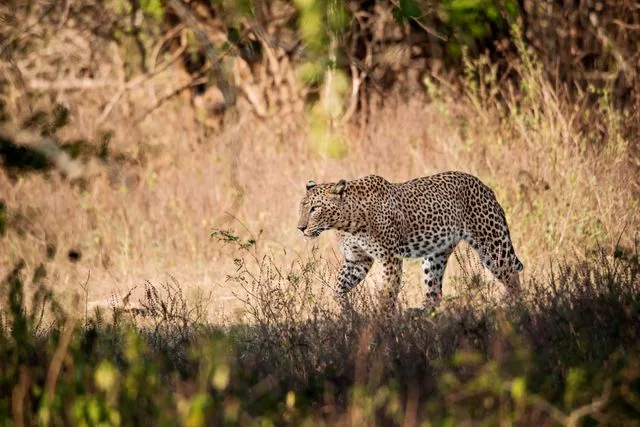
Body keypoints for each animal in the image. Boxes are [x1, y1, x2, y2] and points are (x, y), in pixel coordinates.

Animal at [298, 172, 524, 312]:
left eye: (315, 208)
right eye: (302, 207)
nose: (300, 228)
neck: (347, 222)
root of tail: (486, 187)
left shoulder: (389, 259)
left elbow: (387, 294)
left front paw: (381, 323)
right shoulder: (357, 259)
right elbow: (337, 288)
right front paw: (346, 313)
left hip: (492, 246)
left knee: (512, 278)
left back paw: (514, 312)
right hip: (435, 256)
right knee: (434, 293)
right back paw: (419, 317)